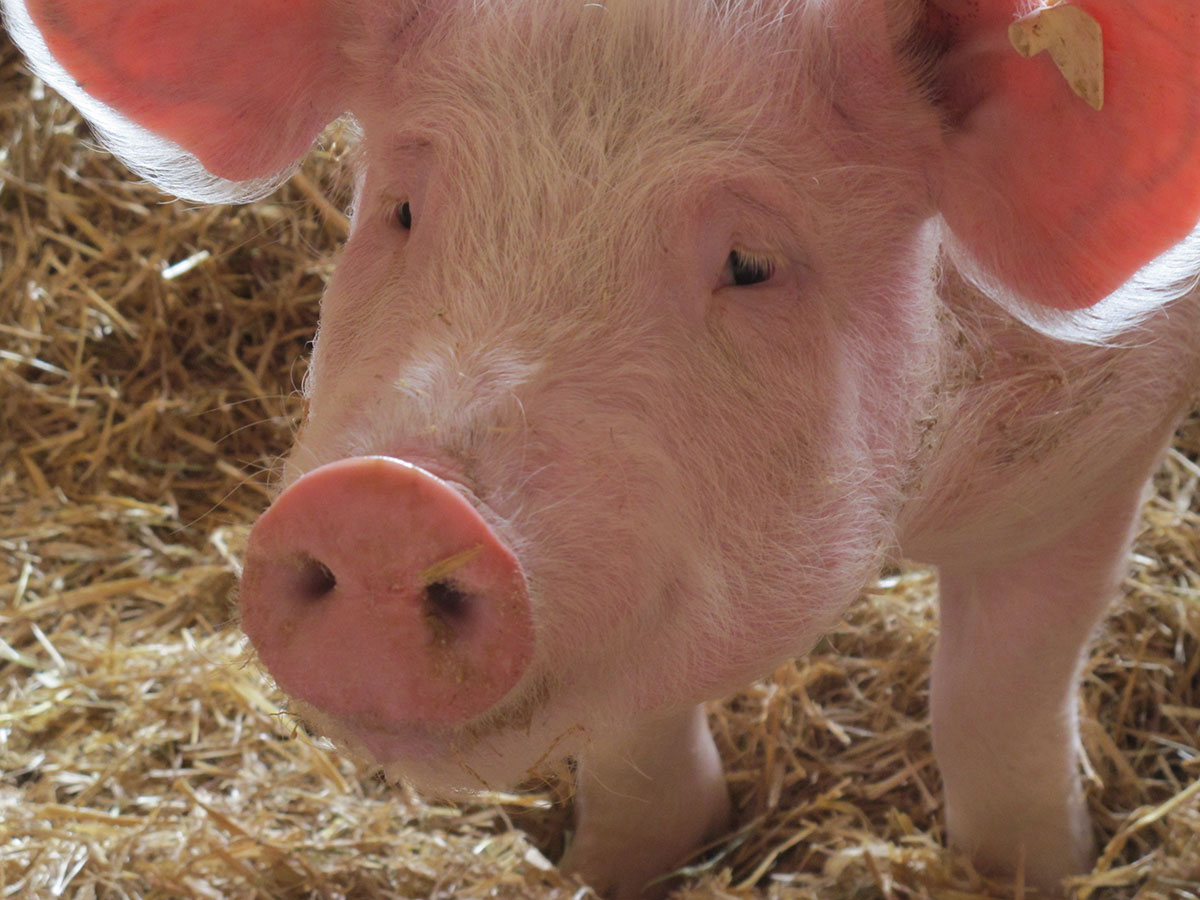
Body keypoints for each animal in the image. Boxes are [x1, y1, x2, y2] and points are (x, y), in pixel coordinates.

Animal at [7, 0, 1200, 895]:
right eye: (401, 208)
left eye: (752, 263)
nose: (387, 503)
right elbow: (633, 728)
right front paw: (612, 869)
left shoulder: (1098, 448)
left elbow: (996, 698)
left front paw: (1039, 873)